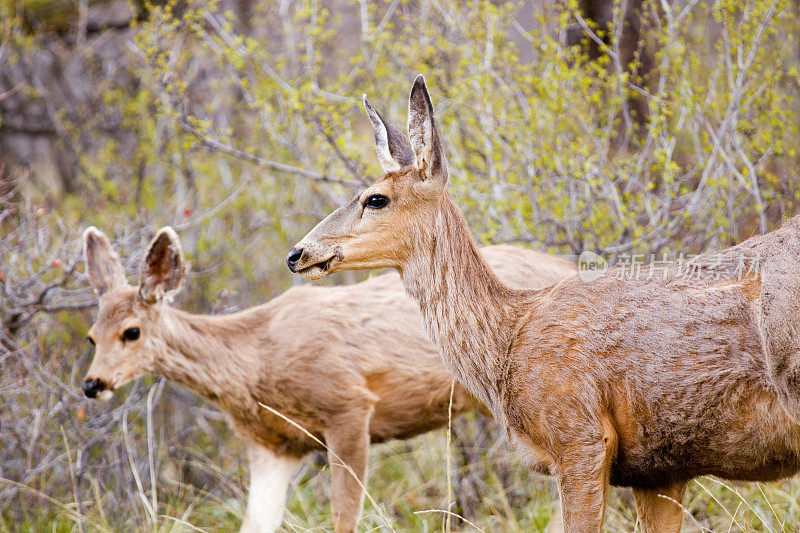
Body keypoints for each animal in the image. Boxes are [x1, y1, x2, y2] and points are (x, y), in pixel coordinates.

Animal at [81, 222, 572, 528]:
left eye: (131, 331)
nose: (92, 384)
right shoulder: (274, 445)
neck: (254, 361)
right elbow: (255, 523)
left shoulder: (347, 405)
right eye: (91, 336)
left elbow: (343, 516)